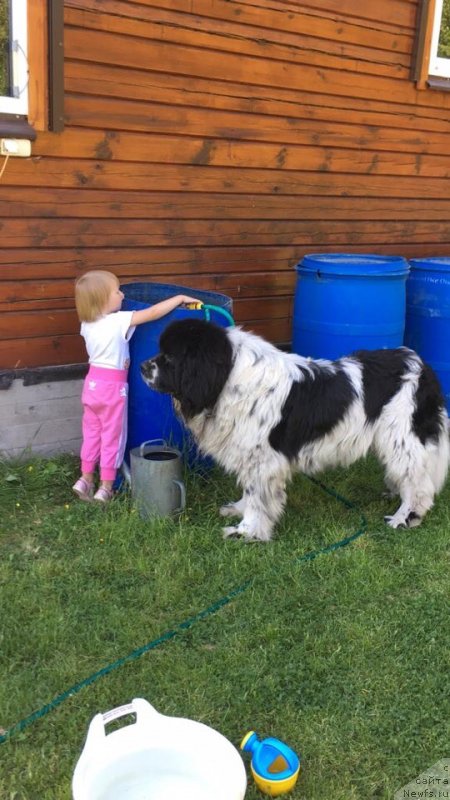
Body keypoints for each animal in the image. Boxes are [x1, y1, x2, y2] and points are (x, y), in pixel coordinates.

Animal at [140, 318, 446, 544]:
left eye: (170, 357)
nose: (143, 366)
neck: (227, 377)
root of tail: (422, 365)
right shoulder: (251, 455)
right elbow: (250, 491)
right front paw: (239, 510)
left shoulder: (263, 458)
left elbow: (258, 498)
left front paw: (247, 531)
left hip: (401, 437)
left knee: (419, 485)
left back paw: (405, 517)